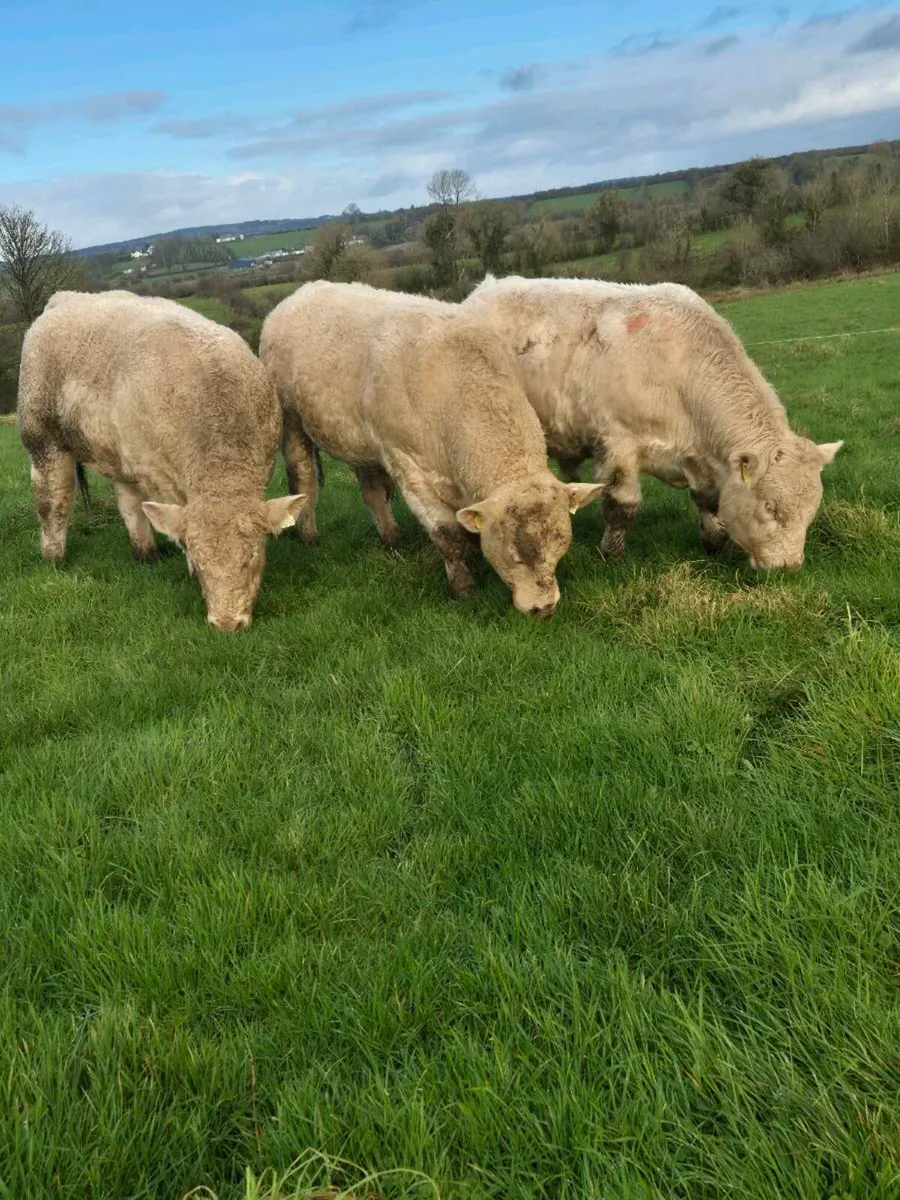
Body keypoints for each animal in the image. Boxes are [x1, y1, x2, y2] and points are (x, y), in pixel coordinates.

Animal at [18, 290, 305, 630]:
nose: (225, 623)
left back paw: (146, 554)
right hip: (43, 439)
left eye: (252, 556)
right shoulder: (160, 477)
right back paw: (55, 558)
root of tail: (66, 298)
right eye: (199, 559)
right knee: (53, 501)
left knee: (128, 504)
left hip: (119, 456)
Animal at [259, 281, 603, 616]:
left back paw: (391, 537)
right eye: (515, 555)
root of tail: (301, 293)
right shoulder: (407, 467)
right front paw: (463, 587)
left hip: (362, 445)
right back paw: (308, 535)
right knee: (304, 480)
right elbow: (447, 535)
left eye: (561, 546)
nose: (544, 608)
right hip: (293, 424)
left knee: (372, 491)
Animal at [465, 275, 842, 571]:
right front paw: (612, 554)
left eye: (811, 510)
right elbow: (622, 507)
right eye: (769, 507)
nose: (789, 566)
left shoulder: (698, 458)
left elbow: (707, 501)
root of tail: (483, 290)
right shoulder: (618, 443)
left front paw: (715, 541)